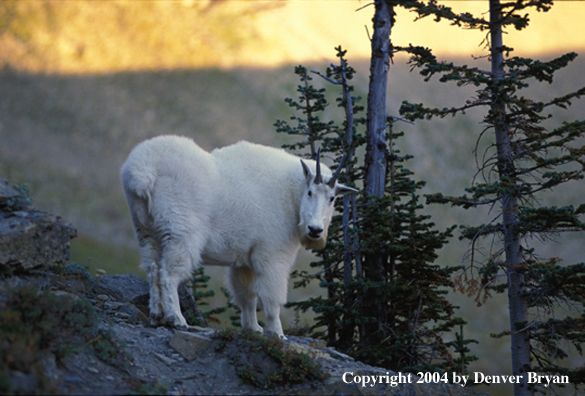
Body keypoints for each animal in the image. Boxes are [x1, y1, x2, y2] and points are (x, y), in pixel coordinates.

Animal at [121, 136, 356, 338]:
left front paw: (253, 328)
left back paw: (156, 316)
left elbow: (247, 296)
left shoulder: (244, 260)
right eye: (310, 193)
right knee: (169, 273)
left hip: (145, 229)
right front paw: (277, 333)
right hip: (181, 232)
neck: (291, 195)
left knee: (152, 269)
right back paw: (176, 318)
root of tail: (143, 170)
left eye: (332, 198)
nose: (315, 230)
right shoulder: (272, 255)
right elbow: (271, 297)